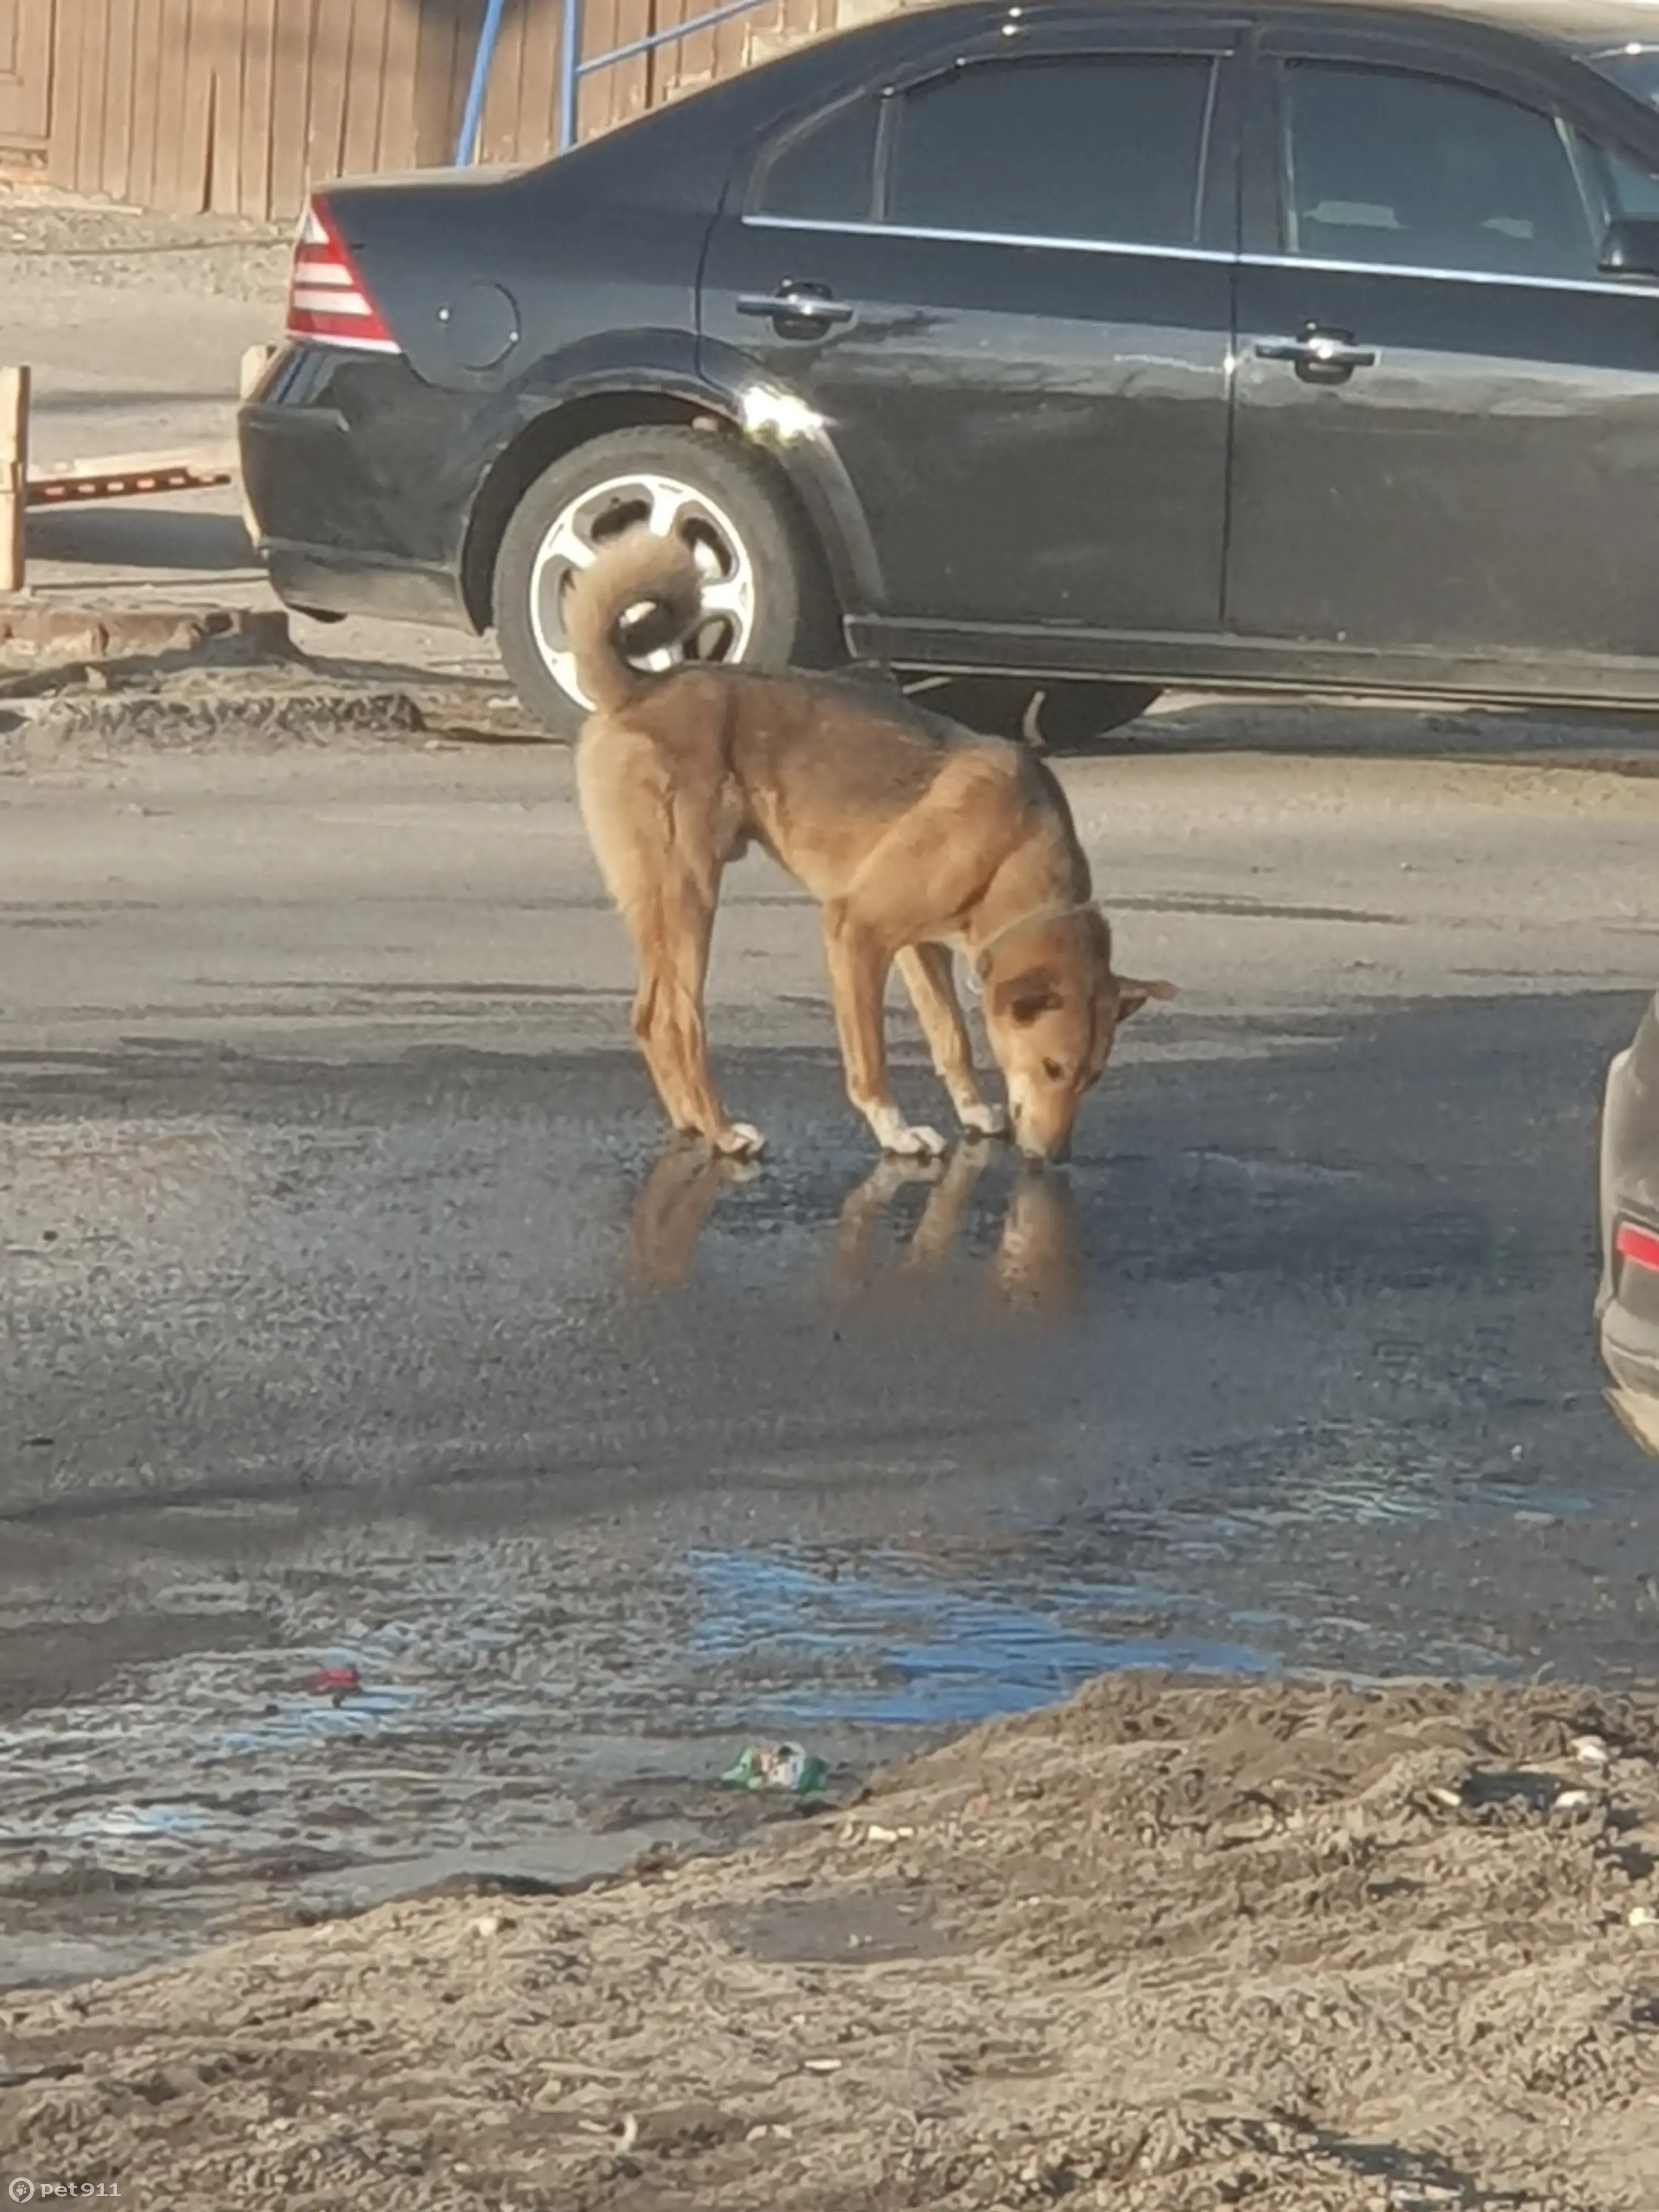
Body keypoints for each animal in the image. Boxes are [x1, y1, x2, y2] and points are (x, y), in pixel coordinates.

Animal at [566, 528, 1177, 1167]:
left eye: (1093, 1078)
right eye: (1053, 1067)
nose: (1054, 1158)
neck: (1014, 848)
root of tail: (635, 689)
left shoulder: (919, 948)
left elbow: (952, 1037)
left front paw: (974, 1112)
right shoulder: (855, 931)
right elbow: (871, 1055)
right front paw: (898, 1133)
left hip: (659, 906)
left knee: (645, 1017)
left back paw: (689, 1122)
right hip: (690, 896)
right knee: (675, 1022)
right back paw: (723, 1132)